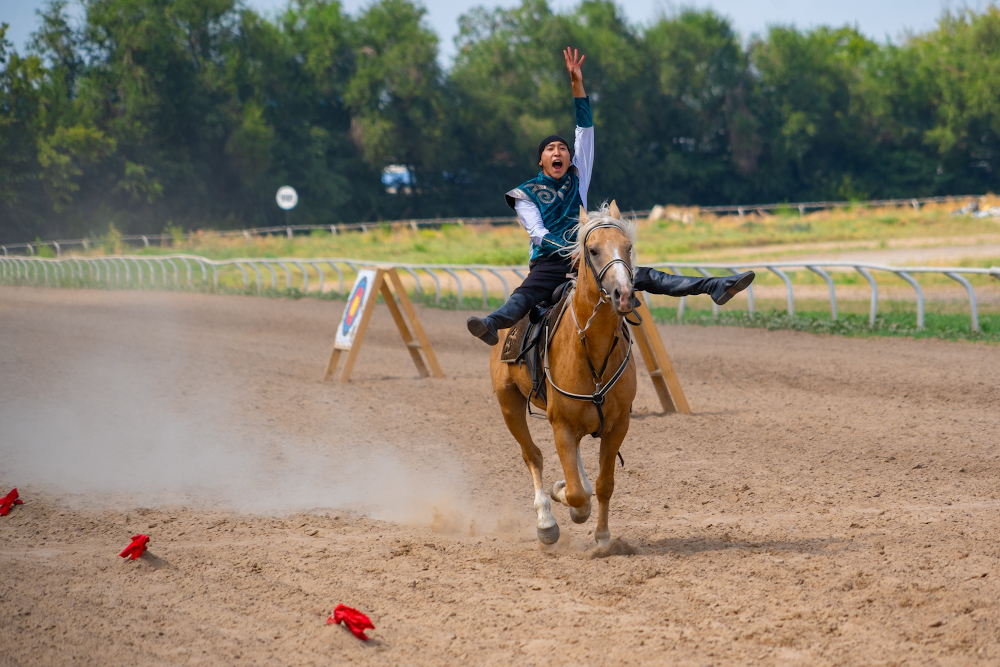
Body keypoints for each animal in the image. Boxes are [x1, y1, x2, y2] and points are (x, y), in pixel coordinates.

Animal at [488, 201, 636, 544]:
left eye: (628, 247)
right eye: (593, 250)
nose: (623, 293)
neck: (593, 350)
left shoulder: (618, 425)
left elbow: (603, 485)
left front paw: (603, 537)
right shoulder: (561, 425)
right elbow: (576, 494)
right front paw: (564, 501)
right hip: (508, 402)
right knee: (532, 455)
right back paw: (545, 519)